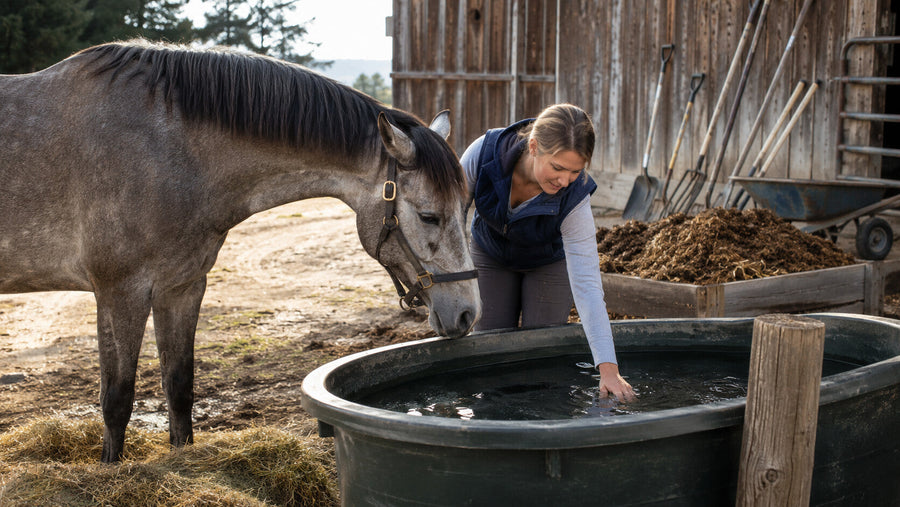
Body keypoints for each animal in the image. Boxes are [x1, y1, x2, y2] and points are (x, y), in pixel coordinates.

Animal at [0, 39, 481, 462]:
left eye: (468, 205)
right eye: (429, 216)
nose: (467, 314)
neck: (167, 149)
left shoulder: (181, 288)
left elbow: (179, 386)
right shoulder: (120, 293)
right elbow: (116, 400)